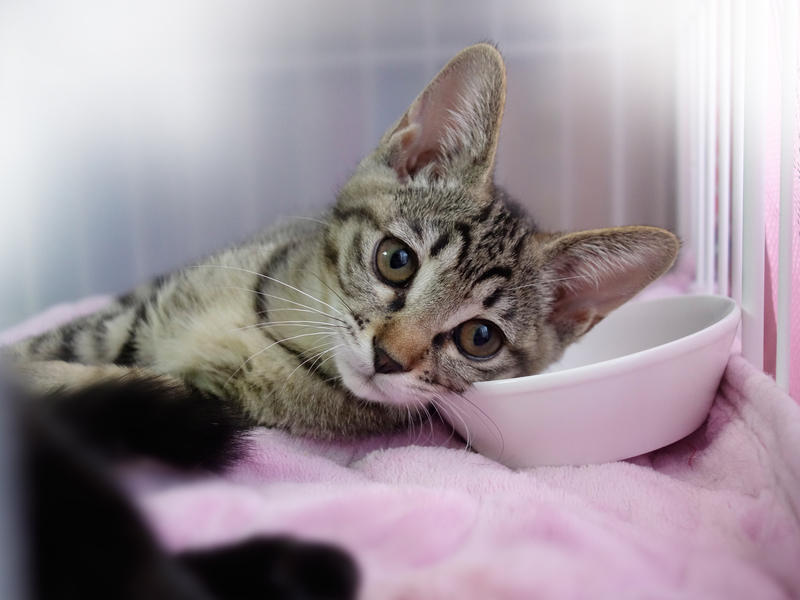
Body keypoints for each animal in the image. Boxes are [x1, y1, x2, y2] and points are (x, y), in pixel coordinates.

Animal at [6, 42, 679, 448]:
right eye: (396, 260)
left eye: (480, 338)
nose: (388, 357)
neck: (271, 332)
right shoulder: (123, 322)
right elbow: (41, 350)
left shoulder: (208, 400)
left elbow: (119, 387)